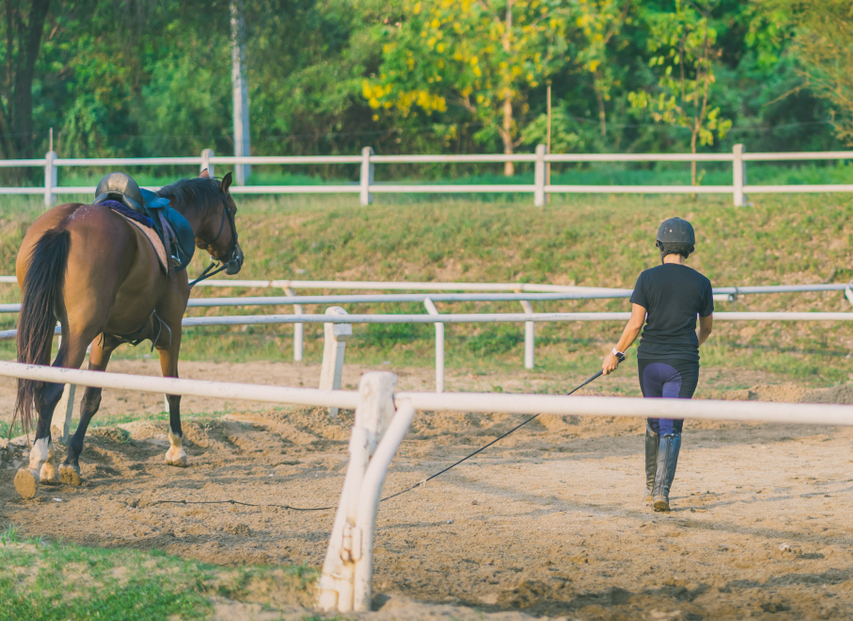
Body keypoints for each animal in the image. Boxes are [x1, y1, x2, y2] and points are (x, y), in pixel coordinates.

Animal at [12, 170, 243, 500]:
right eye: (232, 210)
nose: (237, 257)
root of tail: (65, 225)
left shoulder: (103, 340)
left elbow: (90, 399)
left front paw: (71, 462)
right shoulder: (171, 331)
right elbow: (172, 389)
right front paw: (177, 449)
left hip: (46, 326)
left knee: (40, 383)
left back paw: (49, 461)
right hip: (77, 333)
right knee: (51, 389)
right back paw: (37, 462)